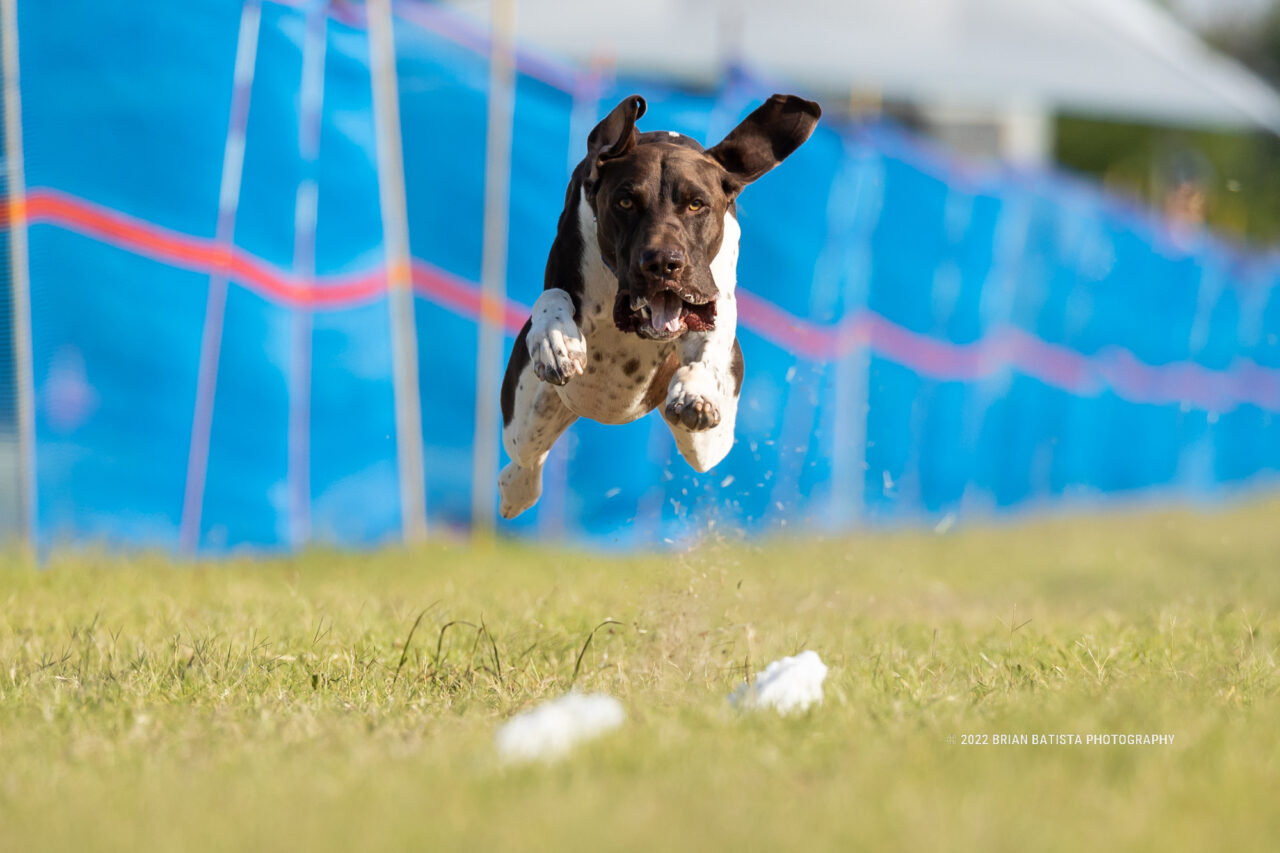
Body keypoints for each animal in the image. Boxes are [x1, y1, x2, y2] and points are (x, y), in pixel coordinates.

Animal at [499, 92, 819, 517]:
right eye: (625, 201)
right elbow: (554, 297)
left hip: (709, 443)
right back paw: (516, 488)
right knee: (525, 461)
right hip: (527, 419)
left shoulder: (714, 310)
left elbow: (711, 346)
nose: (663, 263)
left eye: (697, 204)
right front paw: (556, 342)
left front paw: (695, 391)